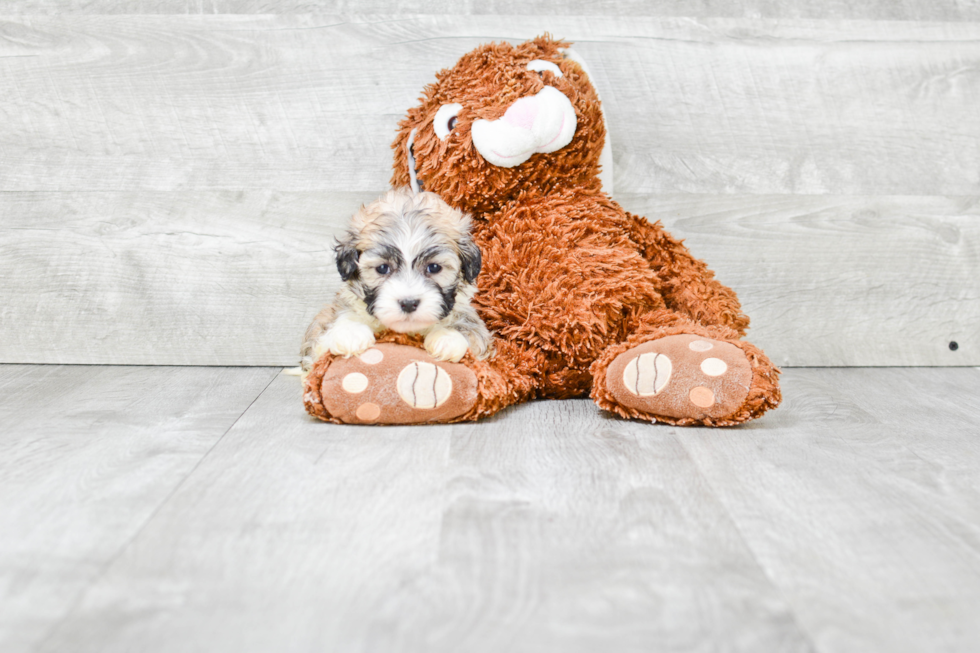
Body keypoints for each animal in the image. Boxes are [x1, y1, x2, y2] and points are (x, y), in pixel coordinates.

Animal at [298, 188, 494, 372]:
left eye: (434, 267)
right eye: (382, 268)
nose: (408, 303)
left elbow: (469, 326)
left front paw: (448, 338)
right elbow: (334, 323)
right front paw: (351, 333)